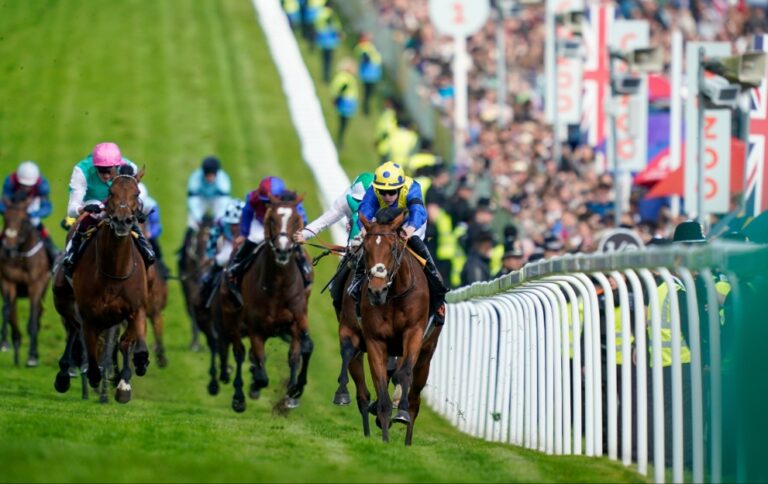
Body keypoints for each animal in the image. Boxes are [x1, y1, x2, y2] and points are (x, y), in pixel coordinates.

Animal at [0, 195, 50, 364]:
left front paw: (32, 356)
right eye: (5, 217)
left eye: (24, 220)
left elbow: (33, 319)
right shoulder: (8, 282)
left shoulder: (36, 285)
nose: (9, 248)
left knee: (39, 314)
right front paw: (5, 342)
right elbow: (7, 311)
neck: (21, 256)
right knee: (13, 314)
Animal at [72, 168, 150, 402]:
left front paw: (129, 377)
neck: (114, 272)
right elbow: (92, 352)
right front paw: (95, 378)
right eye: (111, 192)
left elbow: (133, 345)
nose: (122, 221)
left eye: (136, 193)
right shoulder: (88, 316)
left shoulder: (137, 309)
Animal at [219, 193, 312, 412]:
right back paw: (239, 397)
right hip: (230, 316)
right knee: (239, 352)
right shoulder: (255, 327)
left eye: (296, 220)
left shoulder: (296, 320)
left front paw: (293, 392)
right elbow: (261, 372)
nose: (283, 250)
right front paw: (254, 384)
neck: (278, 285)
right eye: (272, 220)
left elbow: (295, 356)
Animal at [356, 209, 440, 446]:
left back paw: (408, 439)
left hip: (426, 356)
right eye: (366, 249)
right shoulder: (376, 341)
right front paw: (384, 435)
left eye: (392, 248)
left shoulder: (414, 333)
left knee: (415, 398)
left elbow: (404, 374)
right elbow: (382, 387)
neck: (394, 294)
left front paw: (401, 414)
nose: (377, 291)